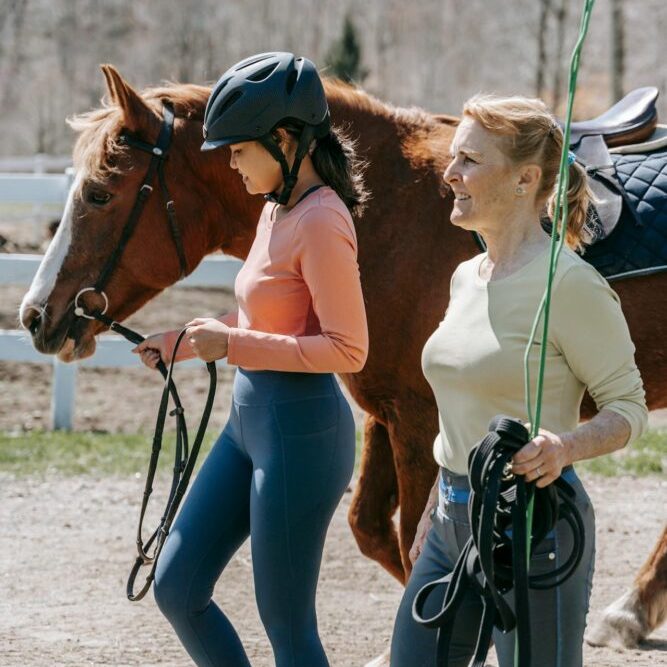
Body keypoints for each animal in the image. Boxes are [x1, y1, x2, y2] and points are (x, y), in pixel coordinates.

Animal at [19, 65, 667, 647]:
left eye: (99, 193)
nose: (34, 317)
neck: (395, 214)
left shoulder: (420, 420)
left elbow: (409, 540)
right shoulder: (391, 413)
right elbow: (371, 530)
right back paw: (630, 612)